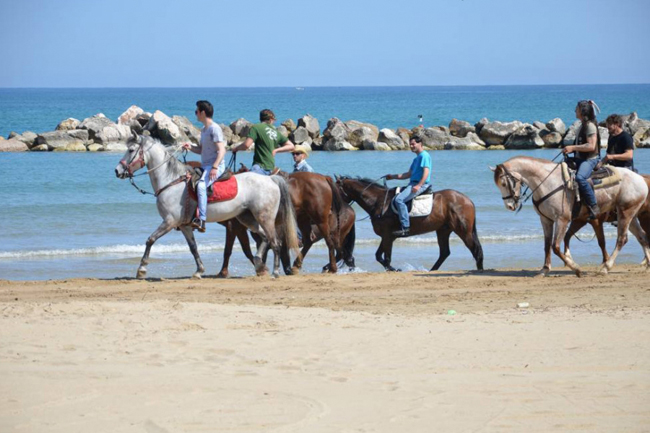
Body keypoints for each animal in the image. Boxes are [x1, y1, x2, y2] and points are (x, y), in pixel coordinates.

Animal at [114, 133, 298, 278]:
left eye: (131, 150)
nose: (117, 171)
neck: (171, 181)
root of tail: (270, 179)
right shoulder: (185, 226)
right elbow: (193, 248)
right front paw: (199, 270)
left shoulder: (169, 221)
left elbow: (150, 240)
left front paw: (142, 269)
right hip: (247, 218)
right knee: (264, 238)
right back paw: (260, 263)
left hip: (265, 218)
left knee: (275, 242)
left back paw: (275, 271)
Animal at [334, 176, 480, 270]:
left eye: (335, 188)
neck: (378, 201)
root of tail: (467, 200)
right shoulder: (387, 236)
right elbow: (379, 256)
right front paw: (392, 268)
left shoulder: (388, 236)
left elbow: (386, 257)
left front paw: (393, 269)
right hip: (443, 230)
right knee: (445, 252)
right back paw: (432, 270)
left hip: (462, 230)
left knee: (475, 250)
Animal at [492, 157, 648, 276]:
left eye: (504, 183)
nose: (509, 206)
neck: (547, 182)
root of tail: (640, 179)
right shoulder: (546, 220)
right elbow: (547, 245)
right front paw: (544, 269)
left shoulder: (562, 220)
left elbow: (555, 246)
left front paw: (576, 268)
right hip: (629, 215)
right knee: (642, 236)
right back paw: (647, 265)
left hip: (626, 213)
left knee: (622, 239)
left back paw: (605, 268)